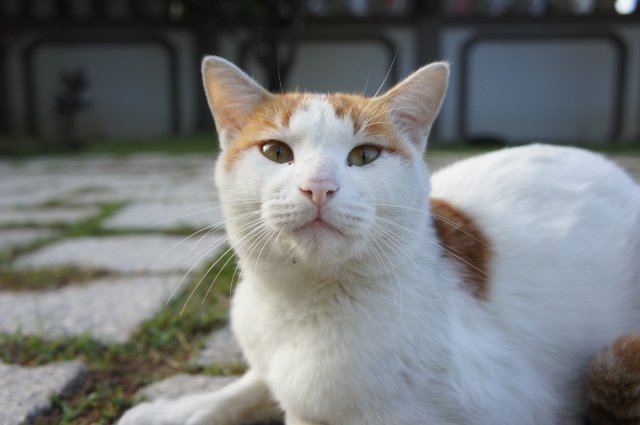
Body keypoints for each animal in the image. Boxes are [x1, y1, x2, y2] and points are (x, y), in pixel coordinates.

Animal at [117, 56, 640, 424]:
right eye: (276, 152)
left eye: (364, 155)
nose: (319, 187)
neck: (302, 305)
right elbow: (255, 385)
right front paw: (181, 408)